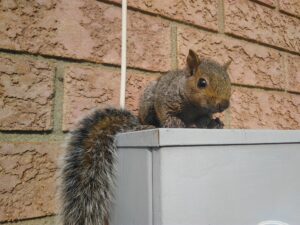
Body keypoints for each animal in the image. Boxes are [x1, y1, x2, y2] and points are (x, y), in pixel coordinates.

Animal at [58, 49, 232, 225]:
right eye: (202, 83)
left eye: (229, 82)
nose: (224, 104)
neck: (194, 107)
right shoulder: (166, 98)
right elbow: (165, 112)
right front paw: (174, 122)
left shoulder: (203, 114)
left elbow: (205, 120)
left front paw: (215, 123)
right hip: (147, 105)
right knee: (148, 120)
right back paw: (145, 126)